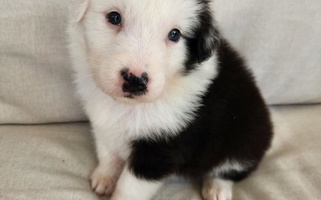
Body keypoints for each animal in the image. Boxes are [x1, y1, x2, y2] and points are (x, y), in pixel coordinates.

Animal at [69, 0, 272, 199]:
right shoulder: (103, 125)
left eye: (175, 34)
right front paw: (105, 178)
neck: (128, 106)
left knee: (229, 170)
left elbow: (129, 188)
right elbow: (108, 154)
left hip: (244, 141)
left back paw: (217, 189)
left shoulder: (161, 148)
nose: (135, 80)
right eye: (114, 17)